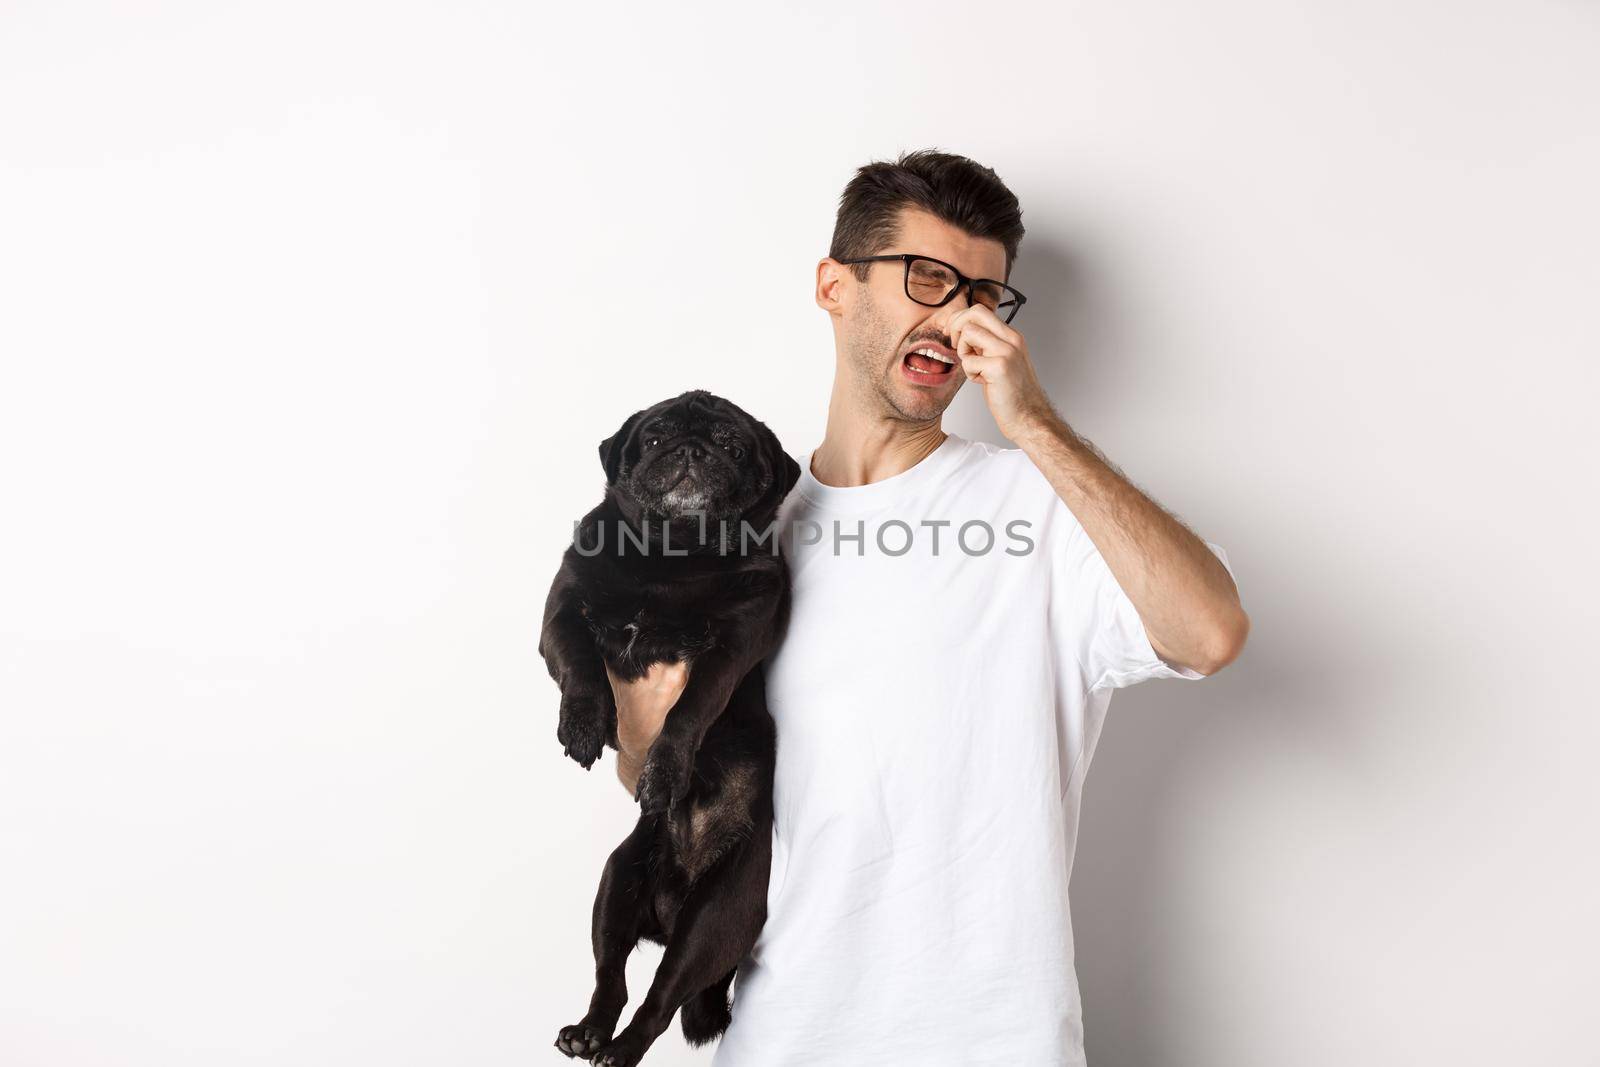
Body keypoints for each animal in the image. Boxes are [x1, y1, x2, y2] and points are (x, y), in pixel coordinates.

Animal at [540, 388, 800, 1062]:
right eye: (655, 437)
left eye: (732, 444)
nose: (691, 449)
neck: (672, 556)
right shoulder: (563, 609)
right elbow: (580, 665)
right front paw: (584, 726)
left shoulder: (730, 646)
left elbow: (688, 712)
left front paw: (664, 772)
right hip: (616, 882)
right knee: (611, 978)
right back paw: (588, 1032)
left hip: (710, 922)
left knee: (658, 1001)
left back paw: (619, 1049)